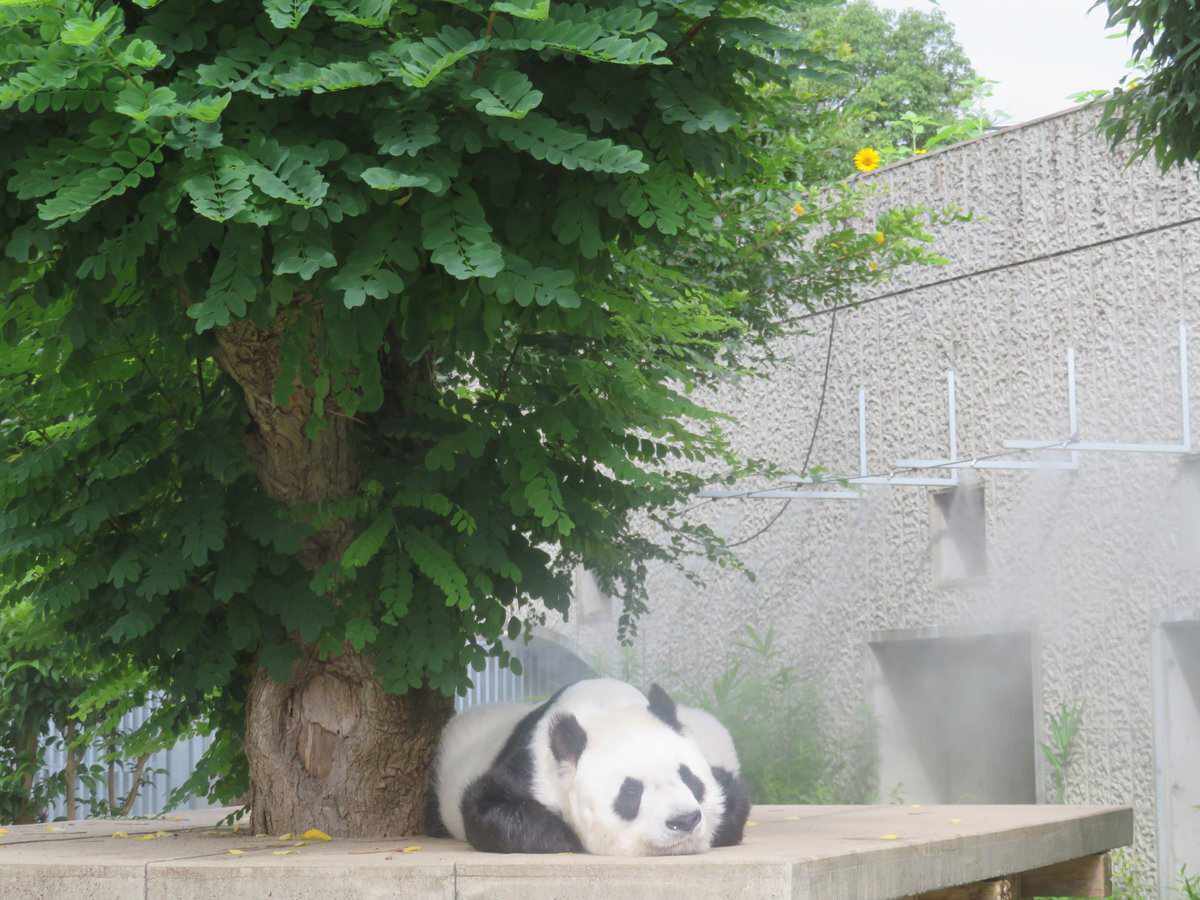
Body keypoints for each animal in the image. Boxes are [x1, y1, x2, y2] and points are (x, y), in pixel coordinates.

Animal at [424, 681, 748, 854]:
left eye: (690, 779)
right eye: (631, 791)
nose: (684, 820)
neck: (605, 708)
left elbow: (734, 801)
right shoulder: (533, 767)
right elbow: (485, 805)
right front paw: (566, 835)